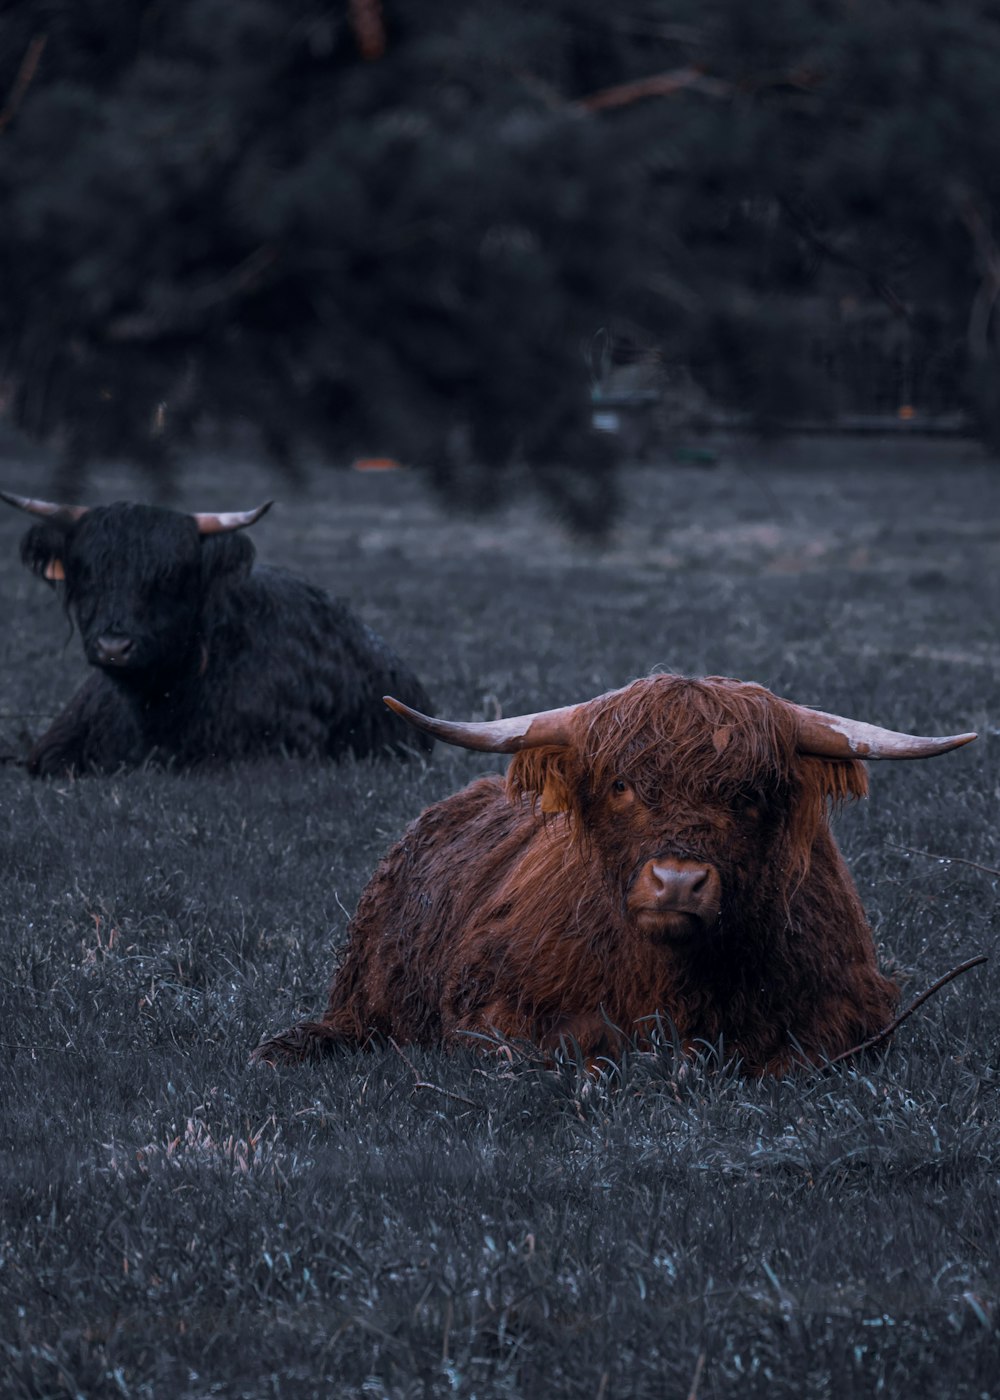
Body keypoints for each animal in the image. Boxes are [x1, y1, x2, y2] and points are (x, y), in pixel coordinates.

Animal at [253, 674, 969, 1069]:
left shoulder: (849, 1012)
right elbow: (567, 1052)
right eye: (622, 785)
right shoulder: (494, 1008)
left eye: (748, 795)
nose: (677, 881)